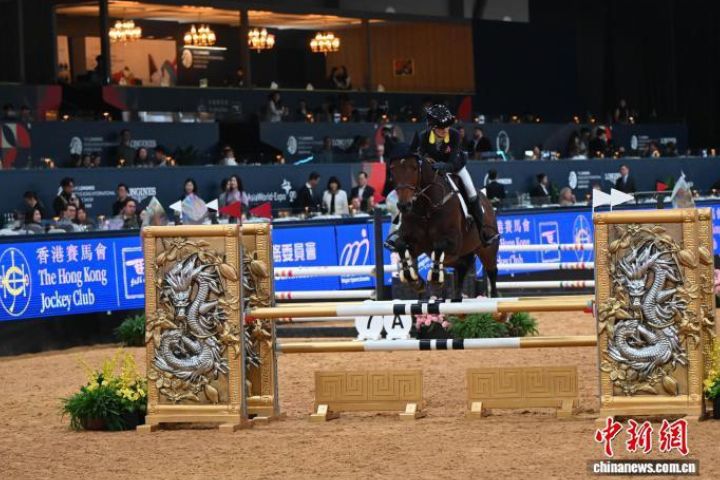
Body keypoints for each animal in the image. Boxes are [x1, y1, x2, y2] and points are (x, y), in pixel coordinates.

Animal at [388, 154, 500, 298]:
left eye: (414, 168)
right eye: (393, 170)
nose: (404, 206)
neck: (427, 208)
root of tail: (487, 200)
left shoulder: (453, 243)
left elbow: (439, 245)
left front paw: (435, 279)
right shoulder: (417, 244)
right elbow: (400, 245)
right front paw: (414, 280)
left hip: (487, 250)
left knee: (492, 273)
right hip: (455, 257)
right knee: (462, 267)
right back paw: (456, 298)